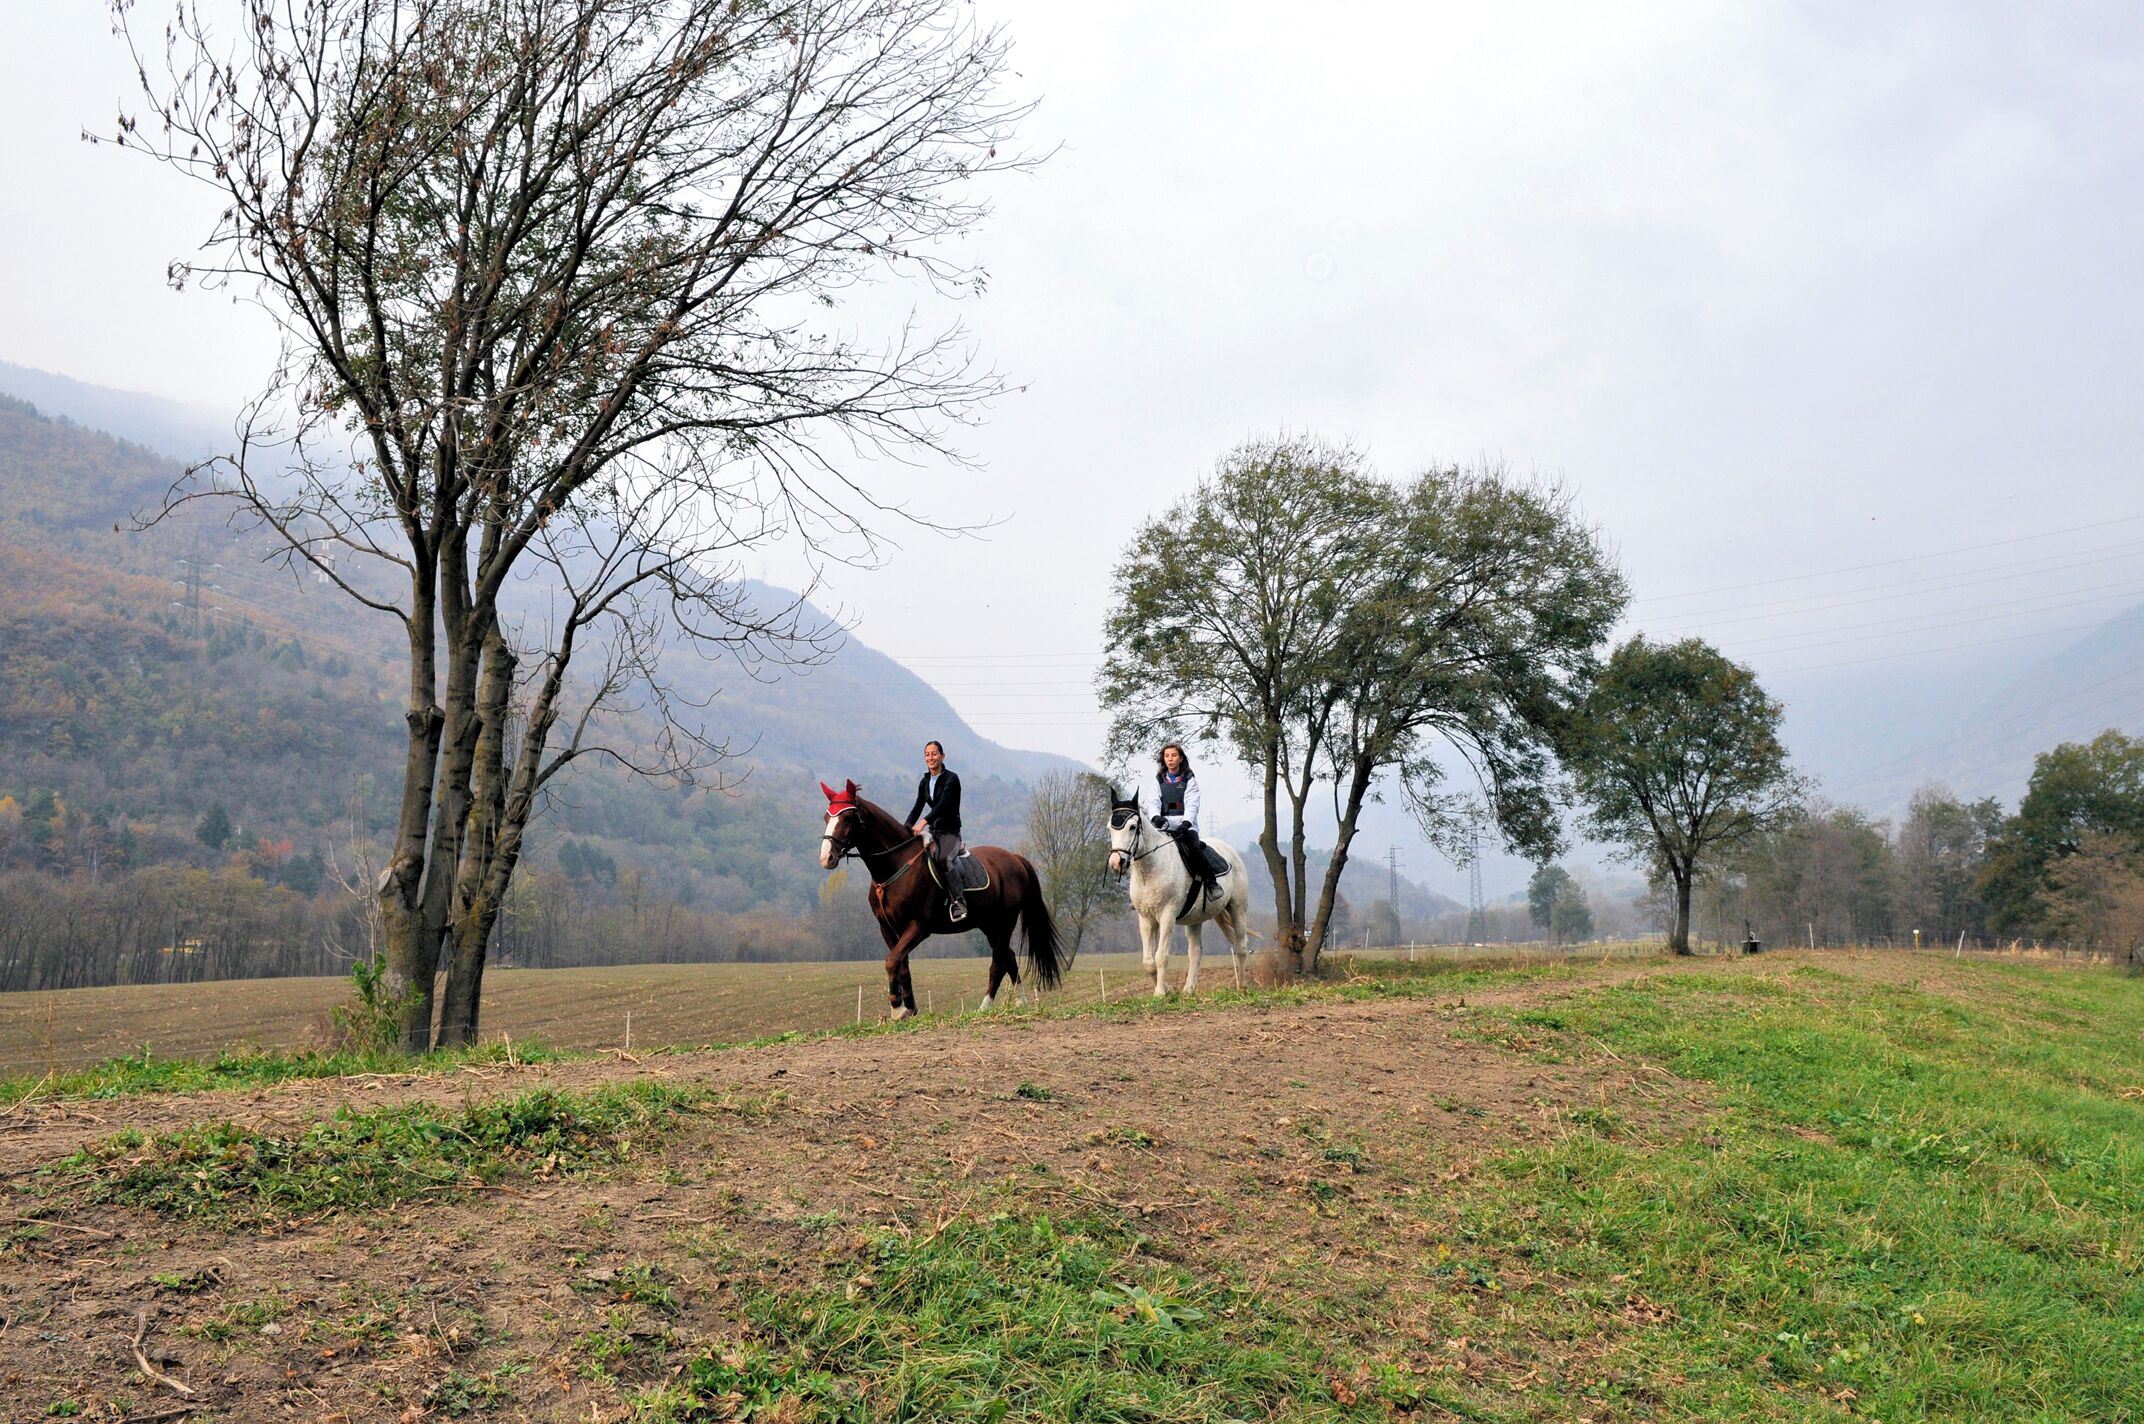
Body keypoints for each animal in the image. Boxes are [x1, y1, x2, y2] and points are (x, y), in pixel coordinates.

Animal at [818, 779, 1064, 1018]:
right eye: (827, 817)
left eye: (848, 817)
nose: (826, 857)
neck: (896, 864)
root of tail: (1014, 858)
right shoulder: (887, 928)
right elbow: (901, 964)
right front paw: (910, 1009)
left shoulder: (919, 926)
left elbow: (891, 961)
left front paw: (897, 1008)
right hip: (990, 925)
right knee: (1009, 957)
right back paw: (1021, 1002)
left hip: (1004, 922)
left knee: (999, 962)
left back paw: (985, 1007)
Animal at [1106, 786, 1253, 995]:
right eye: (1110, 828)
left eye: (1132, 827)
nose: (1116, 863)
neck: (1150, 870)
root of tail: (1230, 851)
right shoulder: (1146, 919)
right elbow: (1148, 962)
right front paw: (1167, 989)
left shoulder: (1167, 915)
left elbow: (1161, 956)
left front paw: (1160, 993)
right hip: (1195, 919)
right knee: (1196, 952)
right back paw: (1188, 990)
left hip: (1237, 909)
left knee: (1241, 946)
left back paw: (1241, 987)